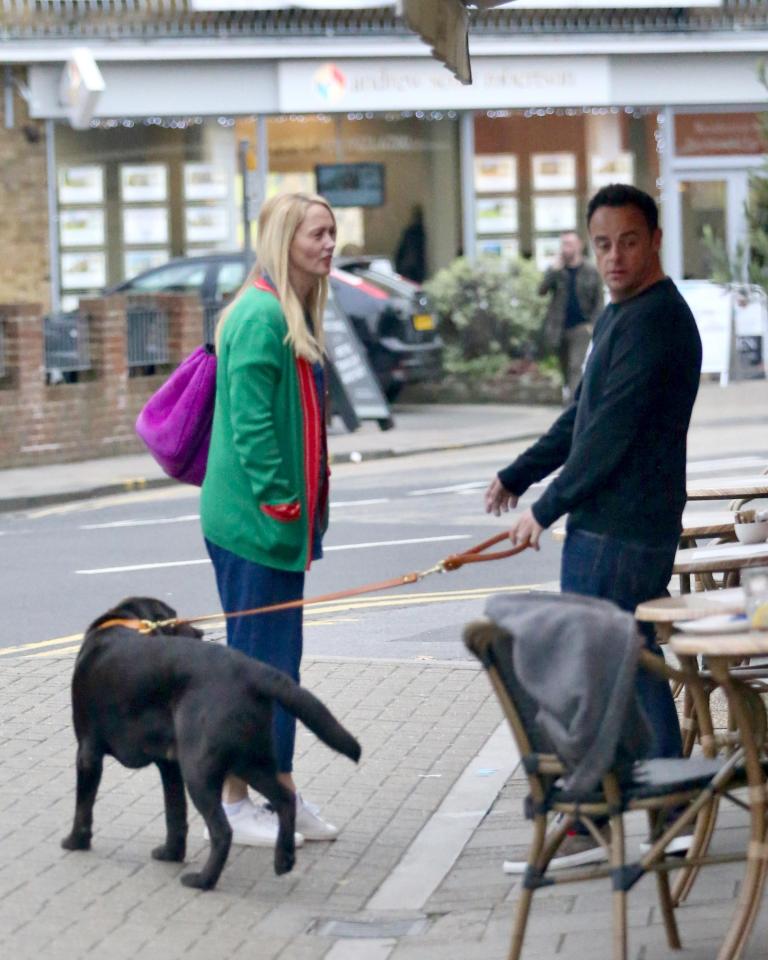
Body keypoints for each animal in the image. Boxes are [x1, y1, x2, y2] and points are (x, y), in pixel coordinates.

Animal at [61, 596, 362, 888]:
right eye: (174, 618)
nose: (200, 632)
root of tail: (252, 670)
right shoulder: (169, 765)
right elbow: (175, 814)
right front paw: (171, 853)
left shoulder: (87, 752)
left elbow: (83, 805)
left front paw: (76, 841)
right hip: (251, 761)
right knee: (285, 800)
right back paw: (284, 859)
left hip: (199, 769)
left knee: (223, 831)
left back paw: (204, 880)